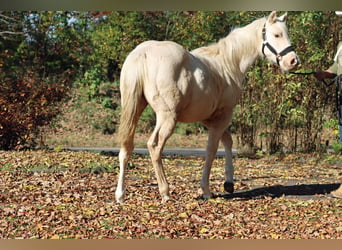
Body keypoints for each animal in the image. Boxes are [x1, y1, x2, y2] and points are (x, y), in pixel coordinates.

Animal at [115, 11, 296, 203]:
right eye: (277, 35)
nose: (293, 61)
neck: (228, 64)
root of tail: (143, 53)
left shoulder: (209, 118)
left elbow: (227, 141)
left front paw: (229, 183)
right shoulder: (223, 116)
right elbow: (211, 150)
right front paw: (206, 190)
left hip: (135, 111)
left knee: (126, 147)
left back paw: (120, 194)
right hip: (167, 117)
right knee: (154, 147)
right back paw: (165, 192)